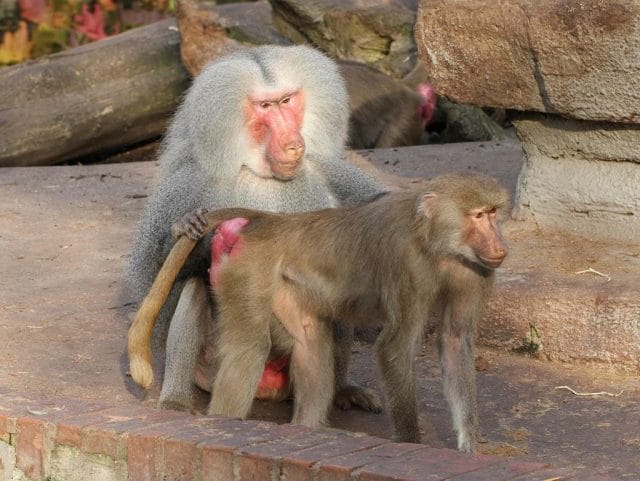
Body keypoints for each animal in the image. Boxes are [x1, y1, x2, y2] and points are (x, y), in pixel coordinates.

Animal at [126, 45, 386, 413]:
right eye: (265, 107)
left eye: (287, 100)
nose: (293, 143)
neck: (265, 177)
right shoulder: (186, 187)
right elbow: (162, 274)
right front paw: (192, 229)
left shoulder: (332, 173)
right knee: (194, 289)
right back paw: (175, 402)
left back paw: (341, 391)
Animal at [127, 172, 509, 452]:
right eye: (478, 216)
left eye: (493, 214)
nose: (499, 245)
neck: (436, 242)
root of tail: (277, 222)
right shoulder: (407, 265)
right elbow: (395, 348)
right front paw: (411, 444)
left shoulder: (475, 269)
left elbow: (456, 340)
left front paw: (468, 448)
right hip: (253, 267)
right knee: (249, 350)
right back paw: (223, 423)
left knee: (310, 342)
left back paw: (307, 430)